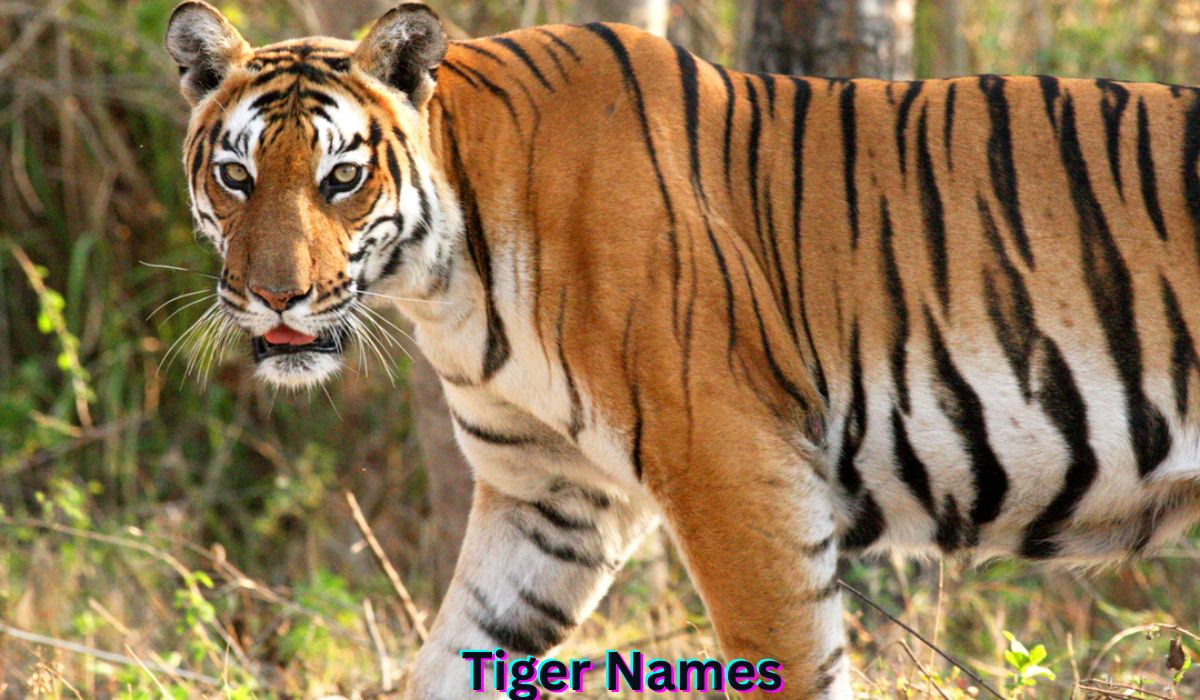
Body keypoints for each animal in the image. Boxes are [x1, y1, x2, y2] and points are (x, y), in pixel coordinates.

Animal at [165, 1, 1200, 697]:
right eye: (236, 176)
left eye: (341, 179)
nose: (275, 296)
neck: (448, 282)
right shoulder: (550, 497)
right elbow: (456, 653)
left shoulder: (733, 469)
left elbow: (787, 663)